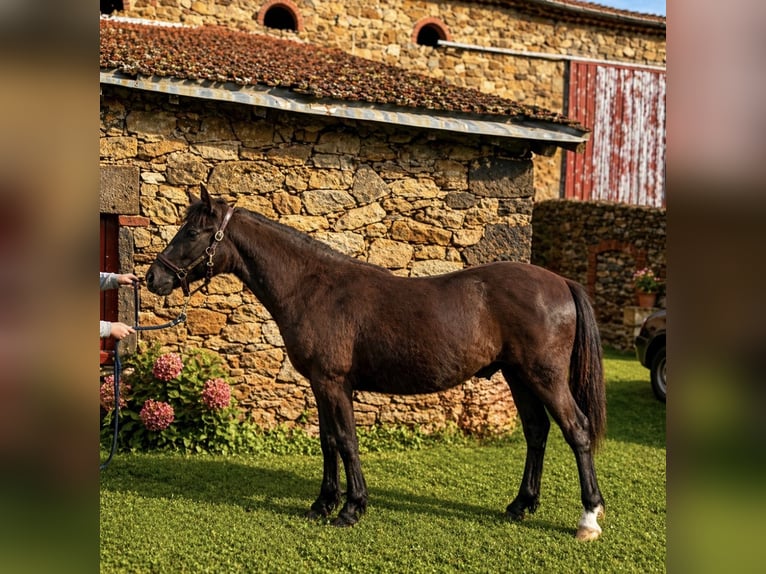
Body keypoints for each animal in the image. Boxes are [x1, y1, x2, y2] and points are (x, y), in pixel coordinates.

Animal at [146, 186, 607, 540]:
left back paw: (588, 518)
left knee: (577, 431)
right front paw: (323, 503)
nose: (154, 278)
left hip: (544, 378)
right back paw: (520, 505)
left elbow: (347, 441)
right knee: (537, 432)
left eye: (191, 231)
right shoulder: (321, 385)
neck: (314, 287)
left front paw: (351, 508)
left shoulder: (333, 383)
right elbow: (328, 442)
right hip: (518, 377)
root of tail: (560, 282)